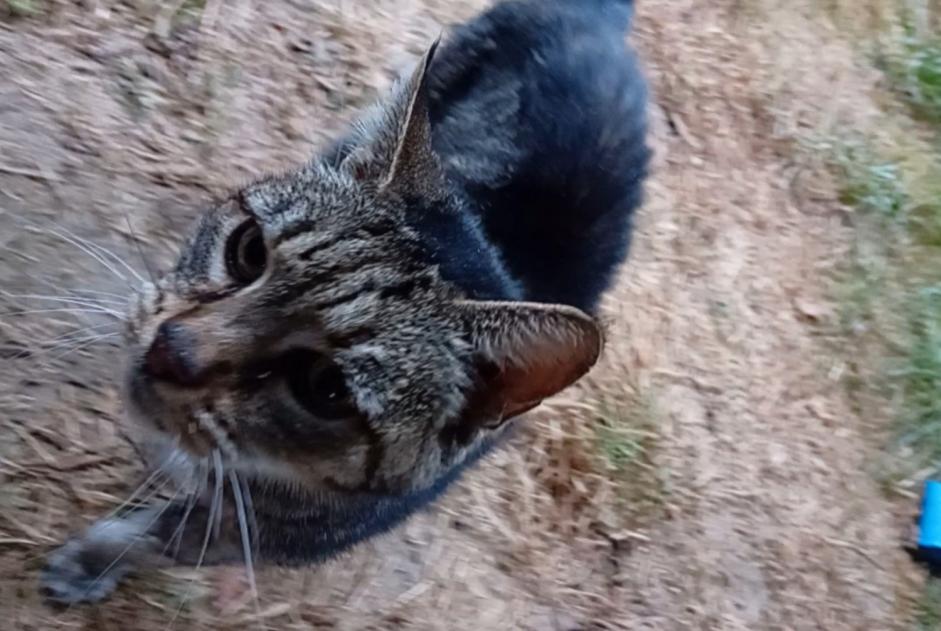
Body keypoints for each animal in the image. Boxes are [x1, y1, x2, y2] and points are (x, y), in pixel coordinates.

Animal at [40, 0, 648, 604]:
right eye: (248, 250)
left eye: (324, 386)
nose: (171, 350)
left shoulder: (255, 535)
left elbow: (154, 538)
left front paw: (95, 560)